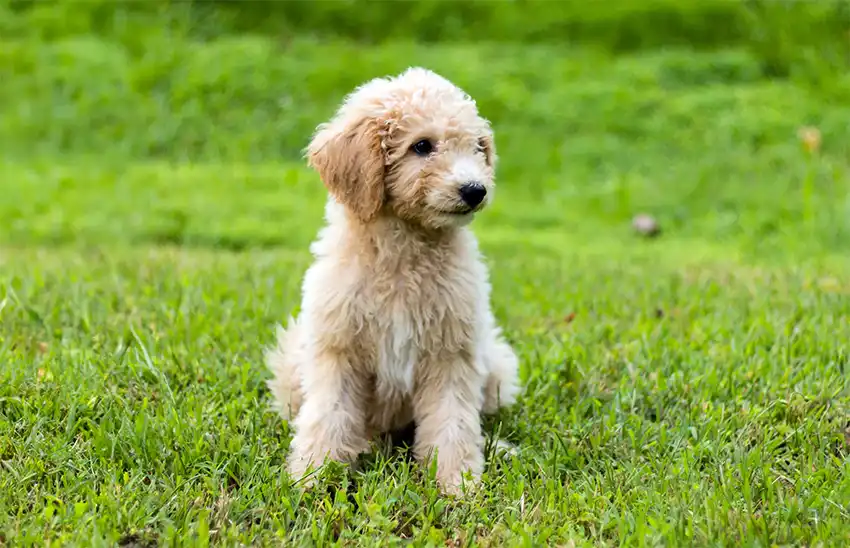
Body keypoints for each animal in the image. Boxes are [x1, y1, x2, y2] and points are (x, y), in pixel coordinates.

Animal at [266, 66, 516, 494]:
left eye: (477, 147)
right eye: (421, 146)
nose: (475, 190)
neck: (404, 254)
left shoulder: (452, 351)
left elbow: (453, 421)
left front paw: (456, 484)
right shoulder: (338, 346)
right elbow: (329, 414)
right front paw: (314, 476)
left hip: (495, 363)